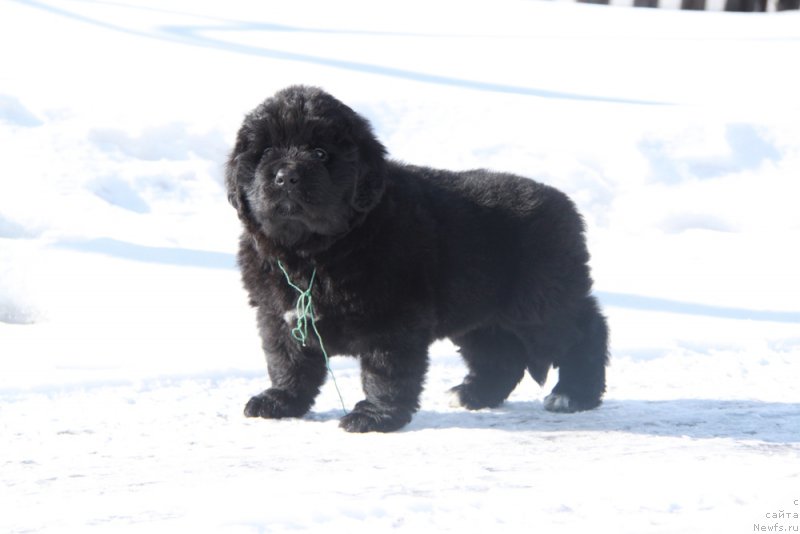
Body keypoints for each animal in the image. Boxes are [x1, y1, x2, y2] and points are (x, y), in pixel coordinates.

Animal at [223, 86, 608, 434]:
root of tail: (564, 203)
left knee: (586, 330)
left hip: (539, 303)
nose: (286, 176)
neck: (314, 253)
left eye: (320, 153)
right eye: (266, 151)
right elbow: (287, 361)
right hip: (478, 311)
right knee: (501, 354)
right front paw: (280, 400)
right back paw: (472, 394)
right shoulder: (277, 315)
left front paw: (375, 417)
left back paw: (574, 394)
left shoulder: (392, 320)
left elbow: (385, 372)